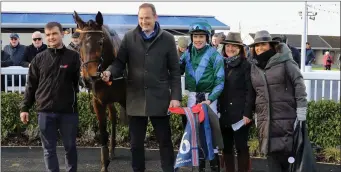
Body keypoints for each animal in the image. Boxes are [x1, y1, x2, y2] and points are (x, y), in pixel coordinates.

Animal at [73, 11, 127, 172]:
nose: (90, 76)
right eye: (79, 44)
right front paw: (104, 163)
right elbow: (103, 132)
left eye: (101, 43)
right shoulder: (98, 101)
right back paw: (112, 150)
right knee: (113, 116)